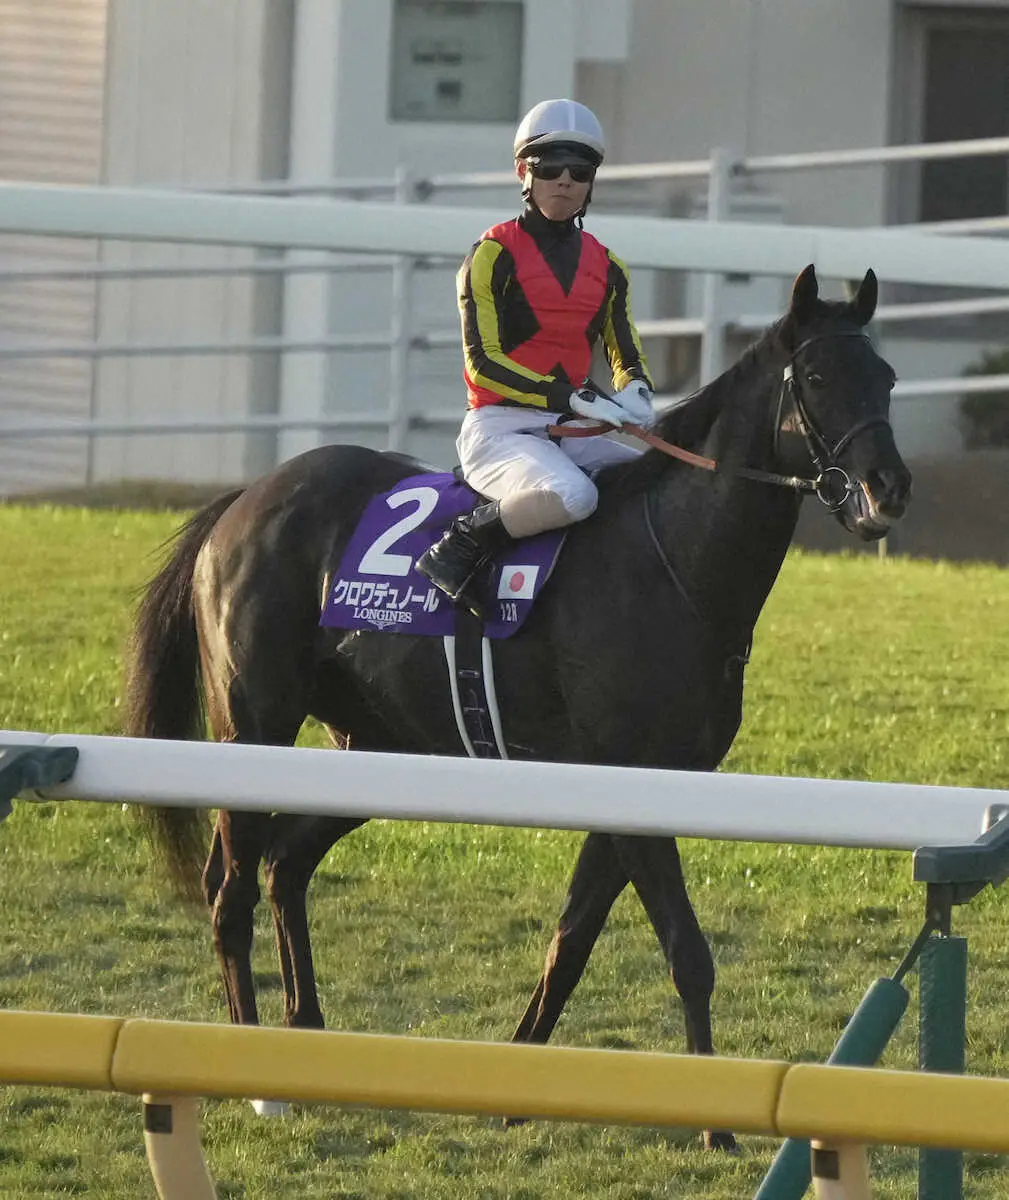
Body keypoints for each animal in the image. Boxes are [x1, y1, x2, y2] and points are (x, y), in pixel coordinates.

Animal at [125, 264, 910, 1150]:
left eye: (884, 377)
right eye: (816, 378)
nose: (888, 488)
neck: (672, 560)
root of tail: (244, 498)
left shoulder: (641, 784)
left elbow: (569, 941)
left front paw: (516, 1088)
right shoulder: (631, 781)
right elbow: (685, 949)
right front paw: (715, 1123)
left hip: (376, 745)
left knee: (282, 865)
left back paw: (305, 1035)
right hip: (253, 724)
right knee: (230, 887)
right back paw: (255, 1073)